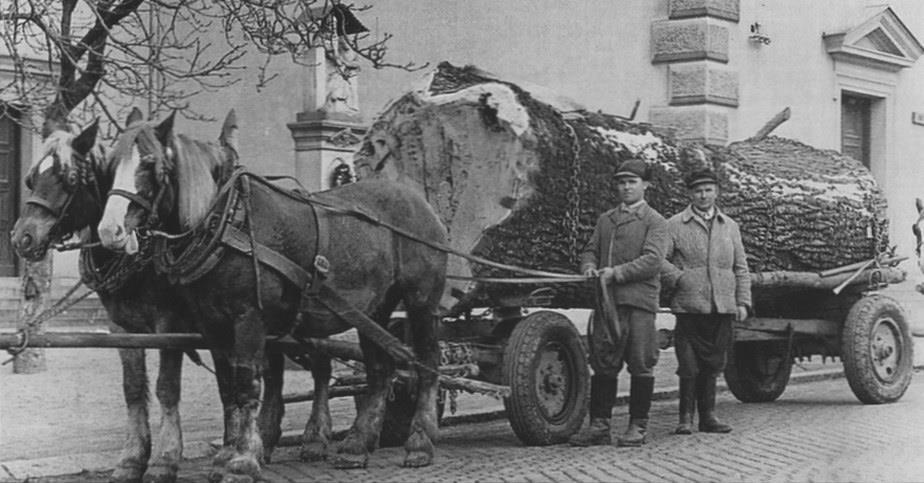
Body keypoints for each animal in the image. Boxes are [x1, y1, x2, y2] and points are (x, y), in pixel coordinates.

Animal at [8, 118, 200, 483]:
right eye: (29, 179)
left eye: (70, 179)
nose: (22, 238)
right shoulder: (121, 326)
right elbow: (133, 387)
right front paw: (132, 458)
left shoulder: (171, 324)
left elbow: (167, 387)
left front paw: (166, 458)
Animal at [95, 111, 450, 482]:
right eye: (109, 164)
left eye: (150, 163)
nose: (109, 230)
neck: (227, 219)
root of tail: (418, 200)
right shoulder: (213, 325)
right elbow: (228, 388)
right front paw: (226, 455)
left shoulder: (249, 318)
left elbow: (247, 386)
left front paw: (243, 460)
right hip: (372, 310)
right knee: (381, 370)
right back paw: (357, 445)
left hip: (421, 302)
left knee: (428, 364)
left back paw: (419, 442)